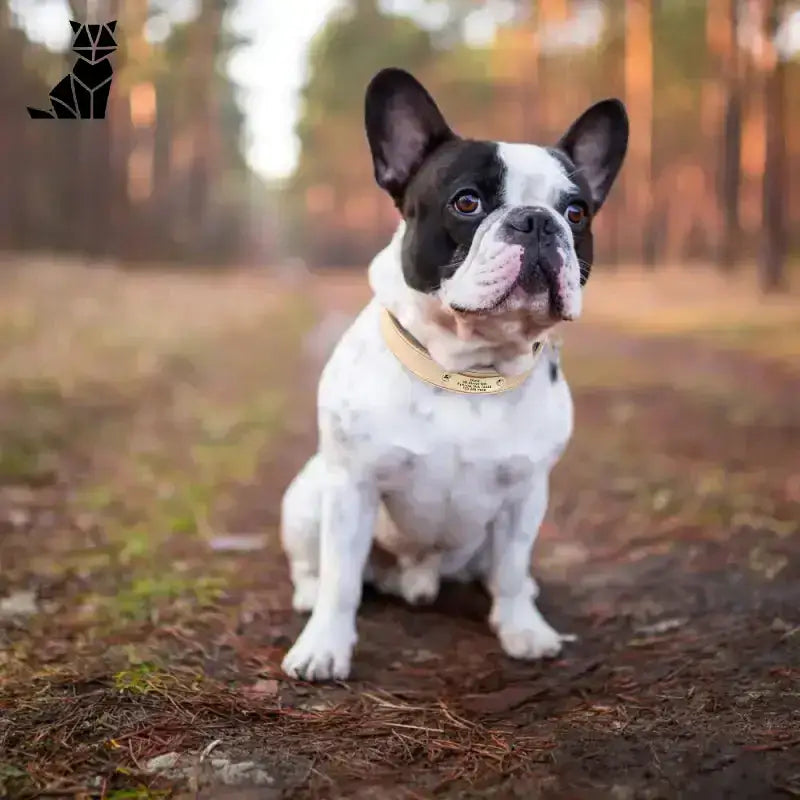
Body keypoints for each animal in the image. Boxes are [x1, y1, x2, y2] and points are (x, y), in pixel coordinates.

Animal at [280, 70, 624, 680]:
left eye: (577, 212)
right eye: (467, 203)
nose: (537, 221)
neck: (469, 368)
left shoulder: (525, 495)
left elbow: (510, 568)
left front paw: (521, 629)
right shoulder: (352, 487)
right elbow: (342, 579)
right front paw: (323, 646)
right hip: (306, 496)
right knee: (315, 567)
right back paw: (308, 594)